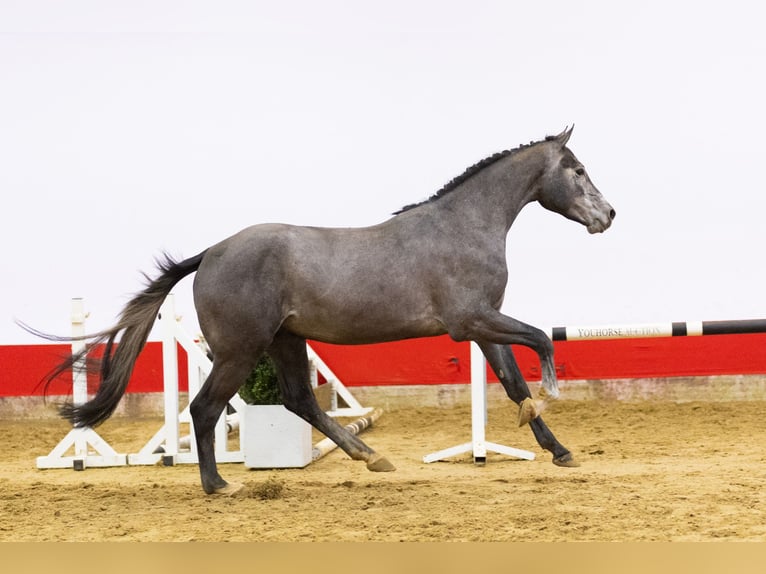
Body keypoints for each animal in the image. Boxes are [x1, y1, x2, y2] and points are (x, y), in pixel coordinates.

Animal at [28, 126, 615, 495]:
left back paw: (370, 457)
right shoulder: (469, 321)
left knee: (298, 401)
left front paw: (559, 448)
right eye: (578, 169)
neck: (463, 227)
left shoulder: (484, 325)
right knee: (205, 408)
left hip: (285, 341)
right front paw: (550, 395)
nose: (608, 215)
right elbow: (541, 339)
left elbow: (514, 382)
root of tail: (211, 252)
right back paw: (219, 485)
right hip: (239, 351)